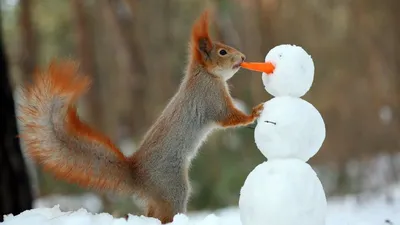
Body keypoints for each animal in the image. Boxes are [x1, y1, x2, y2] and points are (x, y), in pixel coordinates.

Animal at [18, 11, 262, 223]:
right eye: (222, 52)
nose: (243, 57)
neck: (205, 74)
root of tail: (137, 175)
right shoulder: (211, 99)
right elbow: (228, 118)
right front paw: (254, 113)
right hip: (172, 187)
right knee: (165, 214)